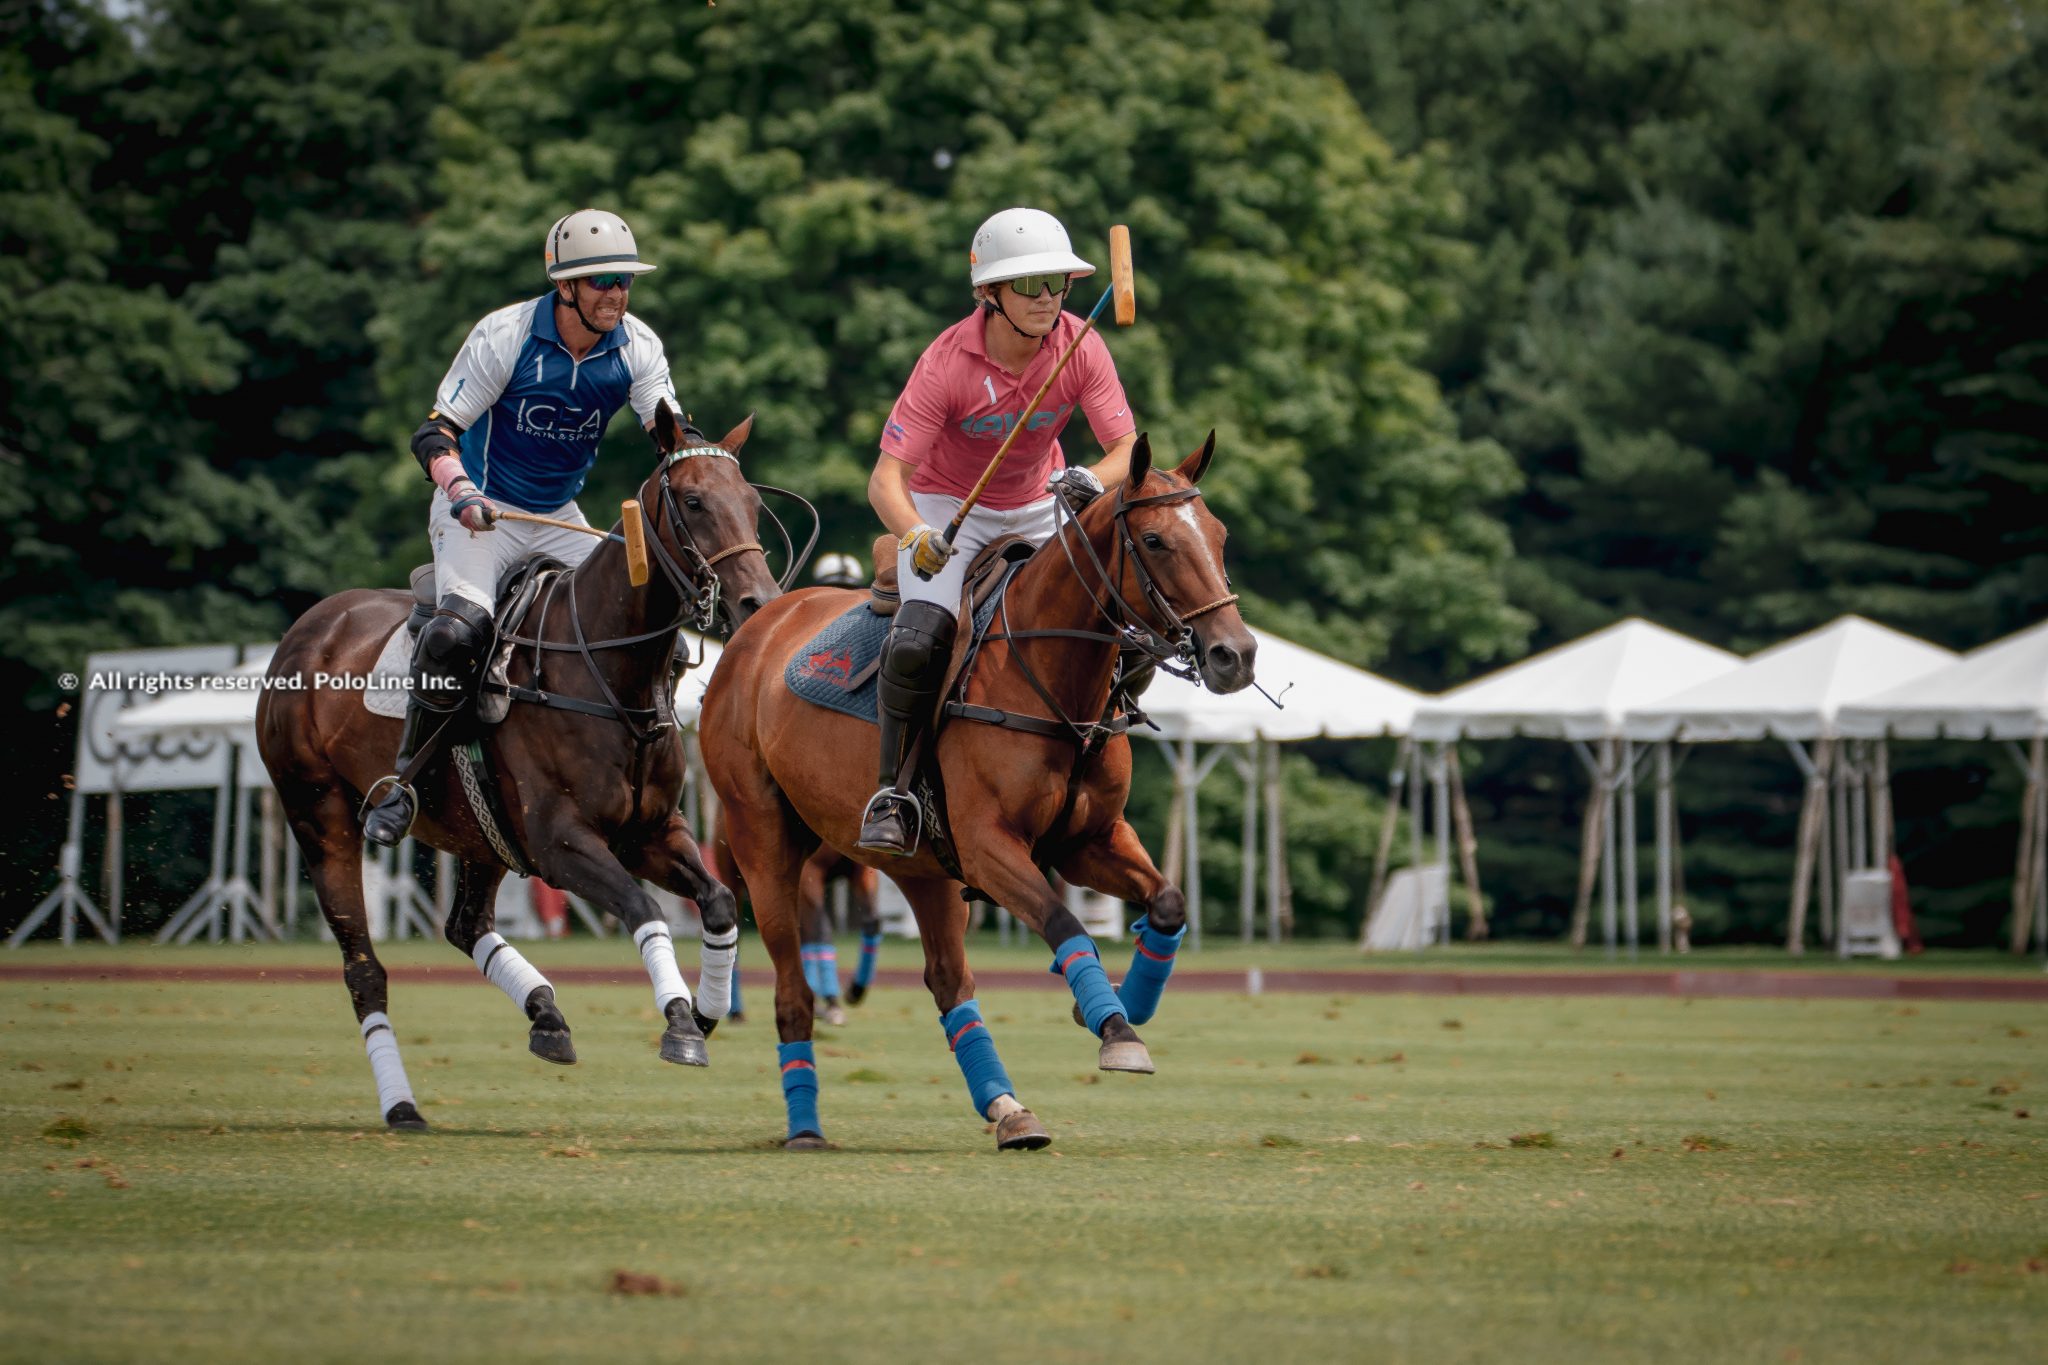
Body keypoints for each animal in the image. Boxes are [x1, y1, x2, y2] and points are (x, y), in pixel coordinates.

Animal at [256, 406, 783, 1130]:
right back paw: (403, 1105)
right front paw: (680, 1022)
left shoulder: (650, 831)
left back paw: (546, 1014)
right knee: (364, 969)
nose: (759, 603)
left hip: (482, 833)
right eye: (695, 501)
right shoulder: (562, 842)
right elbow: (642, 905)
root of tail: (304, 629)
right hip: (320, 817)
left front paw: (706, 1012)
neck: (606, 667)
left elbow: (720, 900)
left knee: (465, 925)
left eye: (754, 503)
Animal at [700, 432, 1256, 1151]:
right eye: (1156, 540)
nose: (1235, 655)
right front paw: (1115, 1028)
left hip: (920, 869)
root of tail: (759, 622)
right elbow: (1064, 921)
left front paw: (1120, 1004)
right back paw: (805, 1126)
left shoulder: (1087, 840)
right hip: (763, 839)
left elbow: (1167, 902)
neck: (1056, 679)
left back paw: (1009, 1109)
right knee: (791, 986)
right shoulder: (989, 844)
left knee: (947, 980)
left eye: (1218, 534)